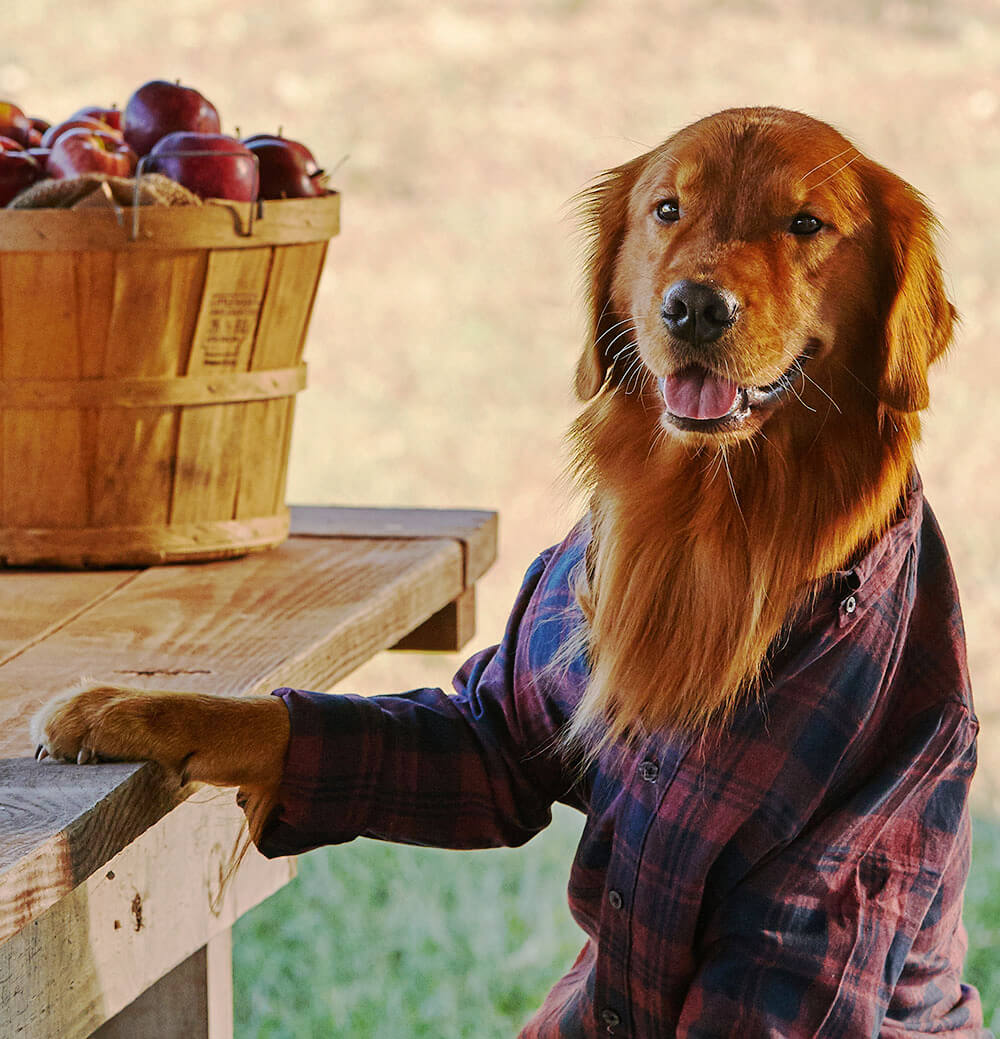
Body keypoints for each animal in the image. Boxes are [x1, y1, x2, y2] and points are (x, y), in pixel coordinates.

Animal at [31, 109, 981, 1034]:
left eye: (806, 225)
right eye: (667, 210)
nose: (695, 308)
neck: (712, 526)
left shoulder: (830, 871)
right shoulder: (503, 725)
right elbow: (307, 723)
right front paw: (120, 707)